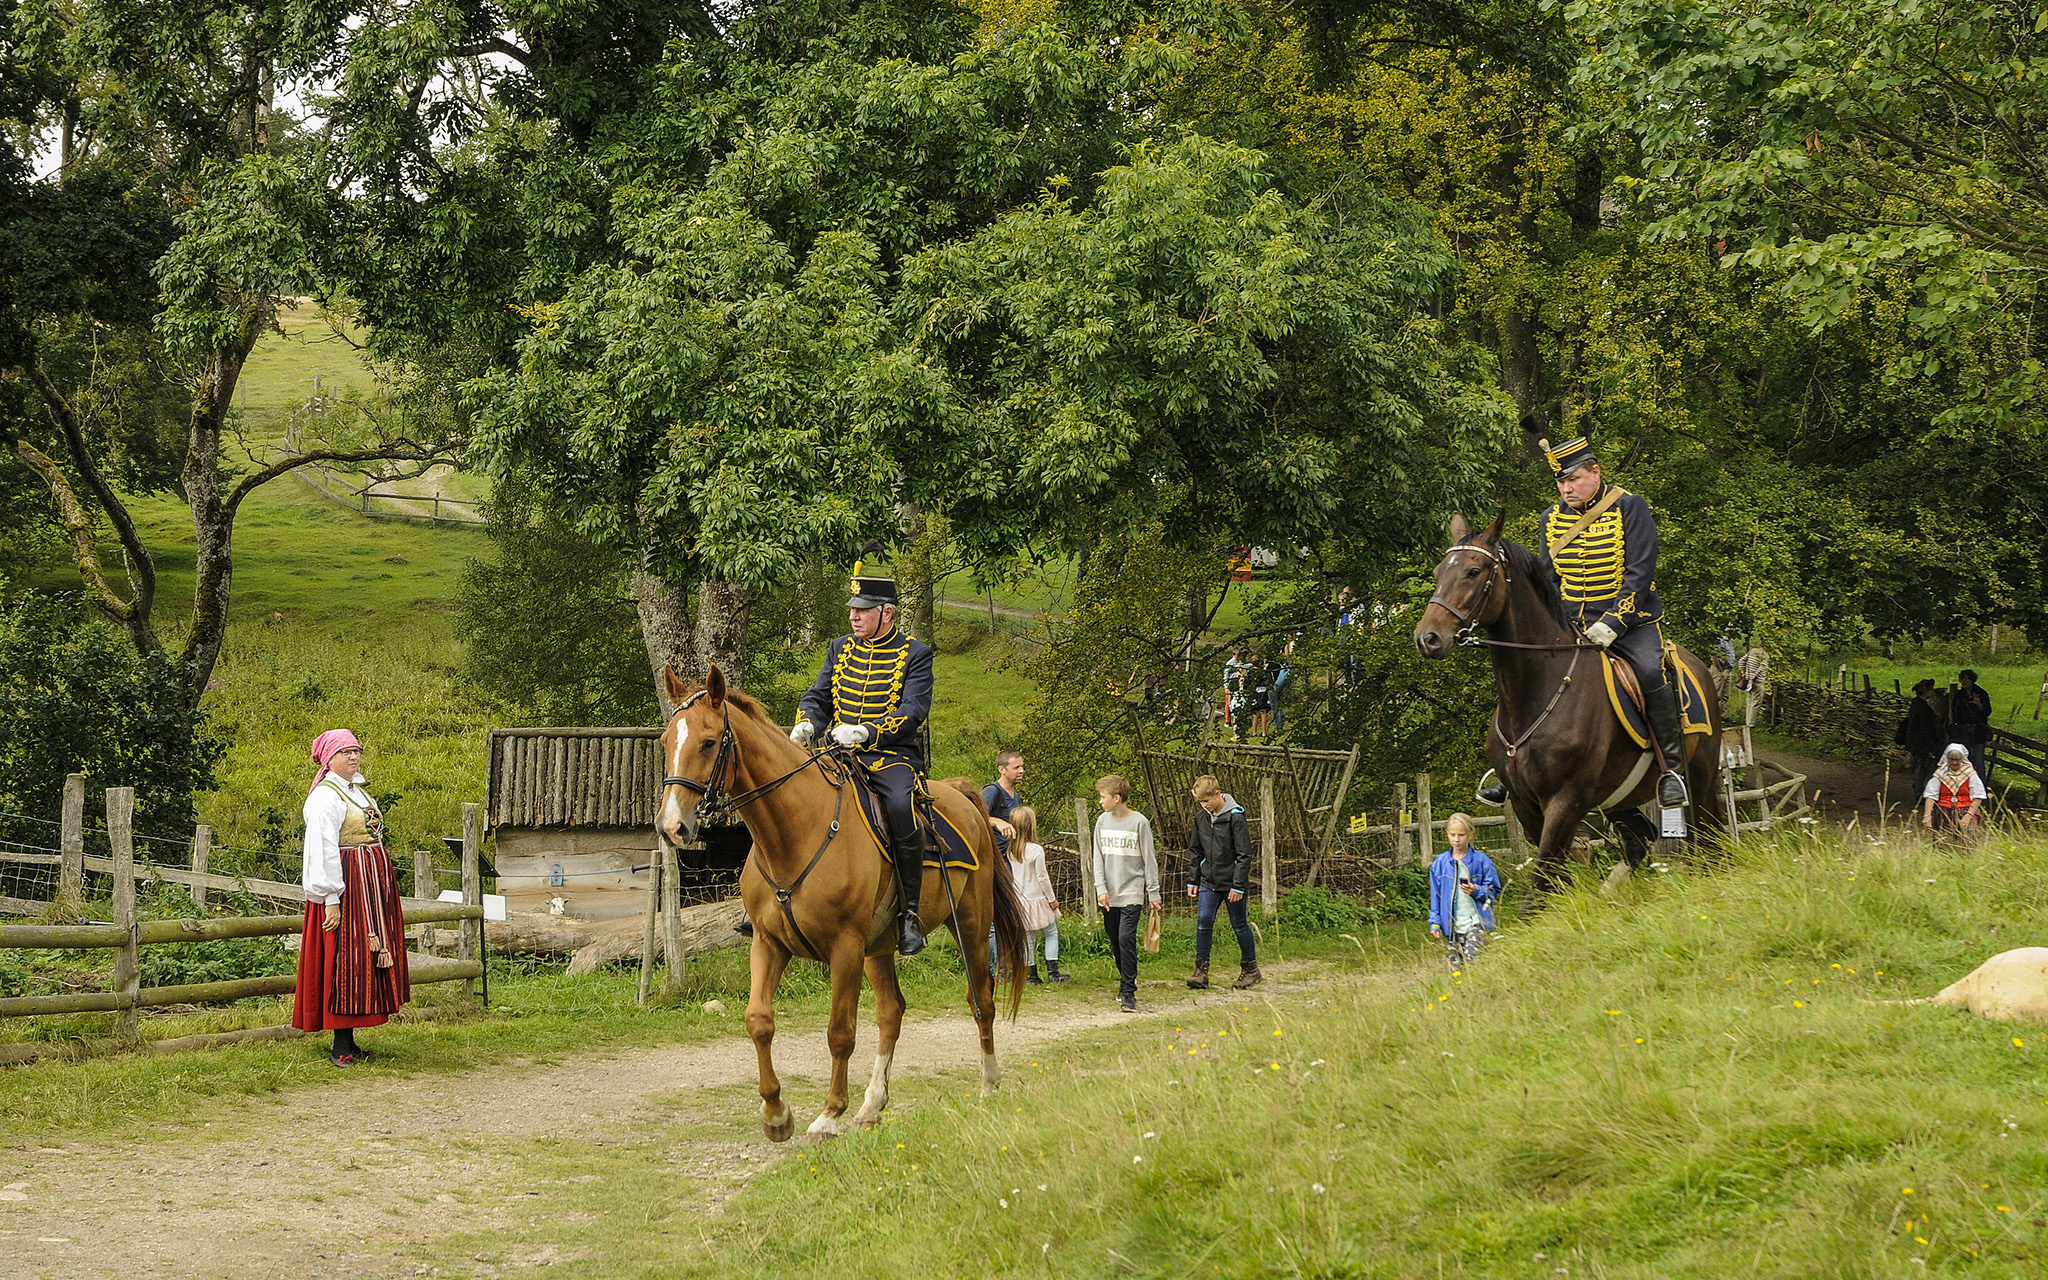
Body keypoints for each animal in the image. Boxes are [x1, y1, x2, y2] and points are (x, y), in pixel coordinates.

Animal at [655, 659, 1024, 1138]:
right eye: (666, 741)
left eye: (708, 742)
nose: (671, 827)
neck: (796, 830)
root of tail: (959, 793)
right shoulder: (768, 943)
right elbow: (759, 1021)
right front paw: (776, 1113)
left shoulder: (844, 948)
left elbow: (840, 1032)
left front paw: (829, 1114)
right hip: (880, 947)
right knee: (891, 1011)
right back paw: (872, 1104)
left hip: (973, 930)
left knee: (982, 1000)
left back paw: (988, 1082)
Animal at [1417, 514, 1720, 884]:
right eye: (1438, 572)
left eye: (1474, 571)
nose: (1427, 638)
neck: (1536, 691)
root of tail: (1699, 667)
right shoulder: (1526, 805)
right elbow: (1552, 880)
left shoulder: (1565, 802)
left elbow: (1541, 881)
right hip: (1616, 798)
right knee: (1639, 840)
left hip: (1700, 782)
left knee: (1707, 841)